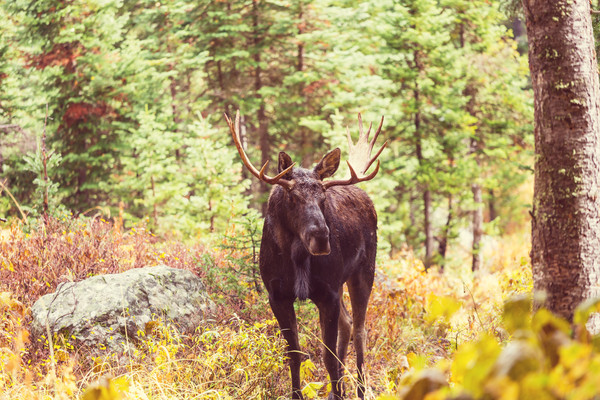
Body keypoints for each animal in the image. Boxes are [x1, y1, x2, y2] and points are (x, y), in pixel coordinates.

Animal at [224, 110, 384, 400]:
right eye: (292, 197)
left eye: (323, 197)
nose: (321, 237)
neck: (297, 259)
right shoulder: (277, 294)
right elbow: (295, 354)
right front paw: (299, 394)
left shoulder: (328, 293)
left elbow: (327, 356)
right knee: (348, 323)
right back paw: (337, 390)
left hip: (364, 271)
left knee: (360, 330)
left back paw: (359, 390)